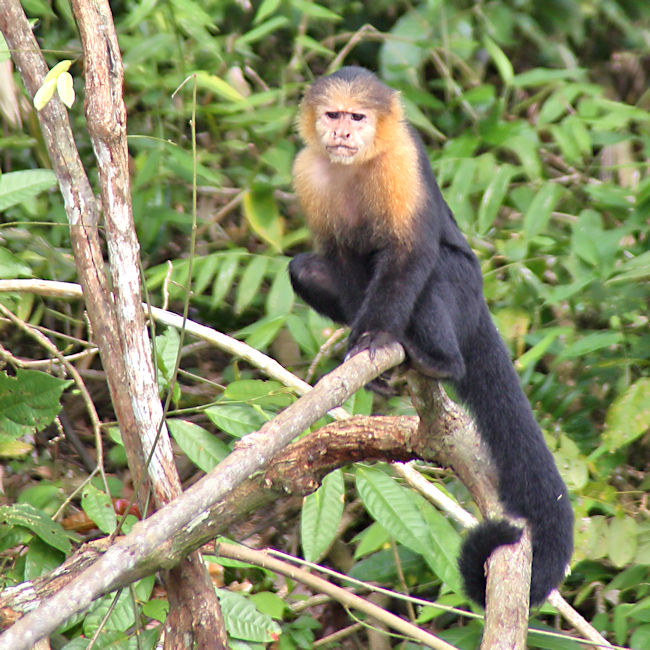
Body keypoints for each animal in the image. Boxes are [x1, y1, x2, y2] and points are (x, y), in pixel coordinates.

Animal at [288, 67, 572, 608]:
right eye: (332, 115)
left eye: (358, 117)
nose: (343, 132)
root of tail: (478, 307)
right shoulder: (307, 172)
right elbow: (339, 259)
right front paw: (364, 347)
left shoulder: (401, 159)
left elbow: (408, 251)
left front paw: (376, 336)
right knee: (306, 270)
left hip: (465, 292)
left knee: (437, 270)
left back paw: (438, 360)